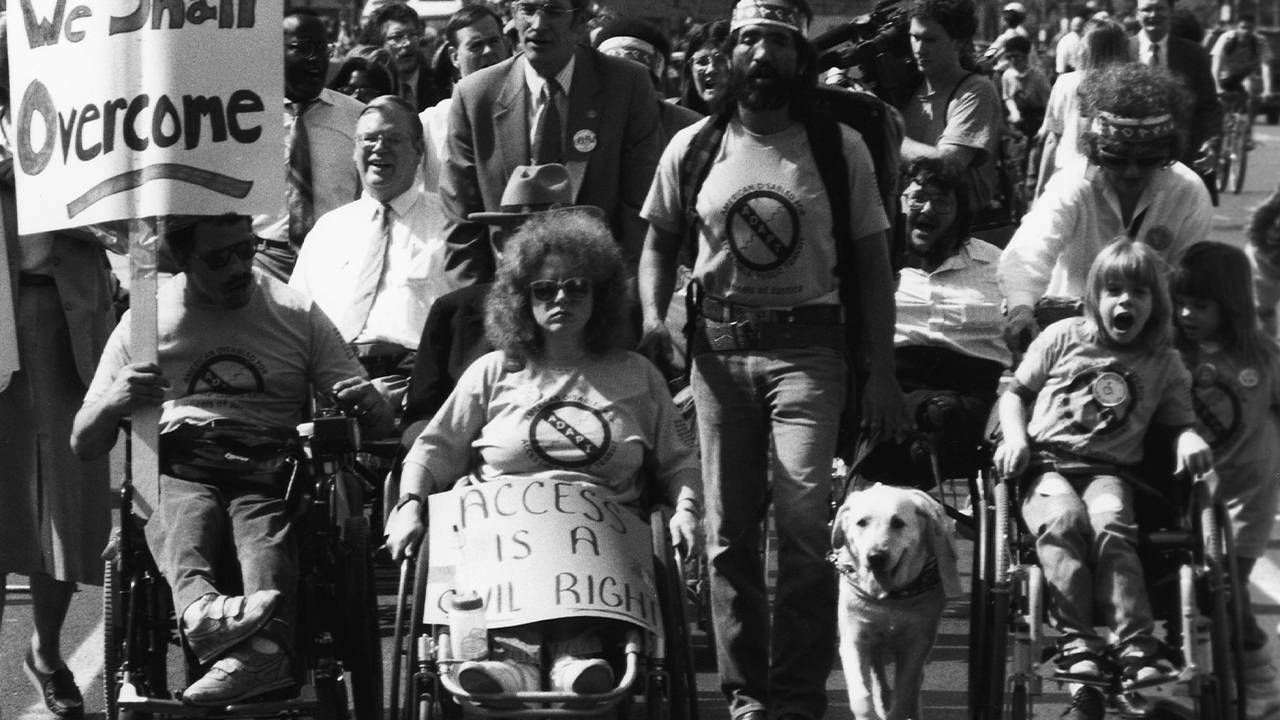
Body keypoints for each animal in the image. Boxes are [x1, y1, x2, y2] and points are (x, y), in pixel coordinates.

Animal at [829, 481, 962, 717]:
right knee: (878, 676)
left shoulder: (915, 645)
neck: (889, 600)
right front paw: (868, 712)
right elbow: (861, 696)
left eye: (897, 523)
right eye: (861, 522)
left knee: (915, 685)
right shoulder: (854, 637)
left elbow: (903, 695)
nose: (876, 557)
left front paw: (897, 709)